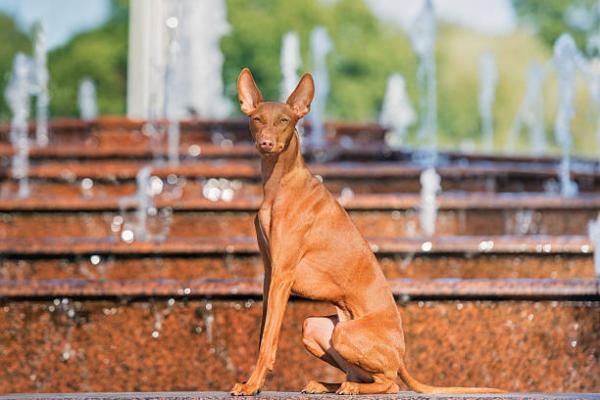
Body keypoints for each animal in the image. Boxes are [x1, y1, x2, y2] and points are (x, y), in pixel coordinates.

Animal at [232, 67, 504, 396]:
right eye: (257, 119)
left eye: (285, 120)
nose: (266, 143)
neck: (279, 184)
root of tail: (401, 355)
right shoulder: (270, 274)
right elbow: (263, 332)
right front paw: (253, 381)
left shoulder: (283, 276)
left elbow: (268, 340)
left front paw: (253, 384)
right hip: (316, 327)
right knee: (361, 375)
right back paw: (328, 384)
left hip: (346, 335)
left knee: (390, 384)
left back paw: (349, 387)